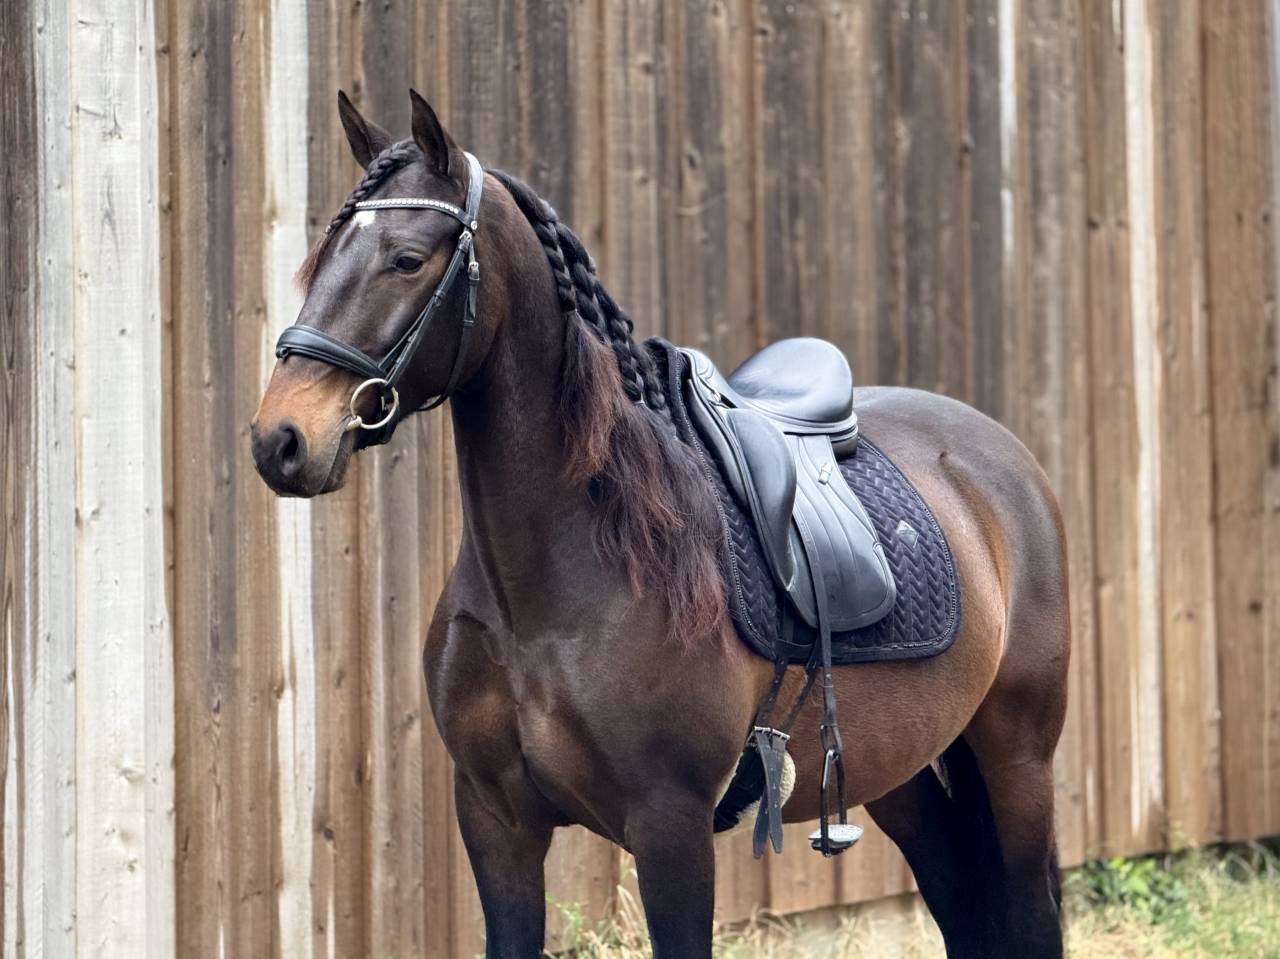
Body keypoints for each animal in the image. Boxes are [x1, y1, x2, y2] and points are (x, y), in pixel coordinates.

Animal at [251, 90, 1069, 959]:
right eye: (319, 260)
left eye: (406, 259)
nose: (282, 439)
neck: (548, 592)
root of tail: (999, 460)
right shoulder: (495, 820)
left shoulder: (668, 826)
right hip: (902, 770)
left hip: (1018, 758)